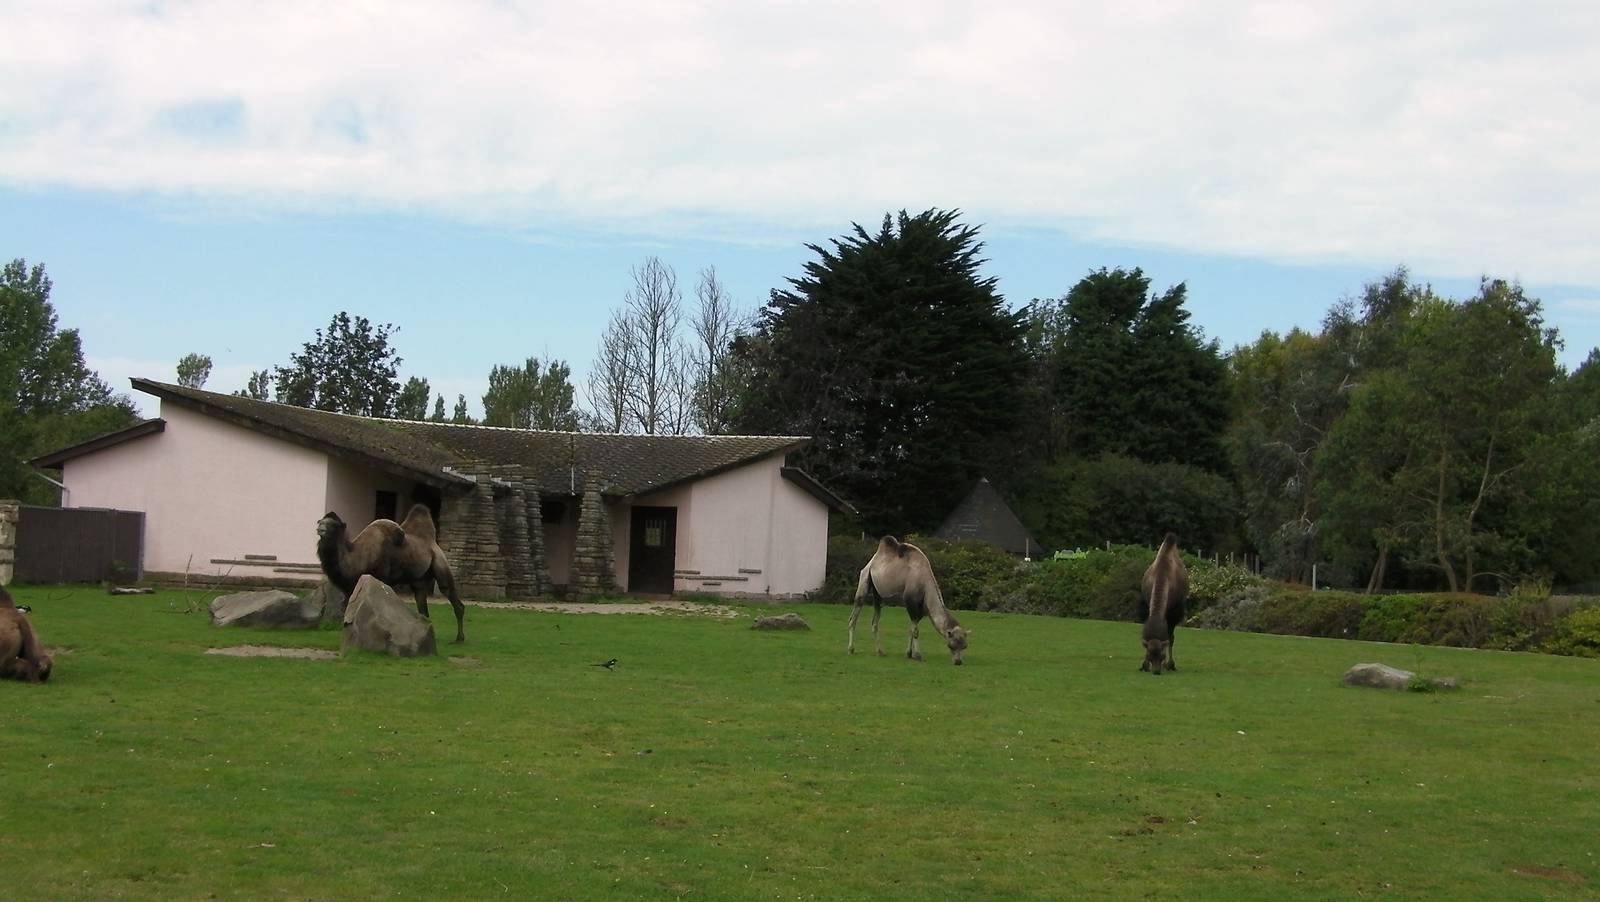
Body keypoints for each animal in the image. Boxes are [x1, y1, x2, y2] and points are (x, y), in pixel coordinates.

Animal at [316, 503, 467, 643]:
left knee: (451, 595)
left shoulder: (381, 577)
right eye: (320, 521)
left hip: (440, 563)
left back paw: (459, 638)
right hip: (419, 581)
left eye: (333, 525)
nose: (320, 529)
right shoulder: (352, 587)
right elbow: (349, 612)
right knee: (423, 608)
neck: (360, 556)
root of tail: (433, 543)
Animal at [850, 536, 969, 665]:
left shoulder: (921, 610)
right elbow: (915, 631)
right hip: (865, 577)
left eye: (964, 646)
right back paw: (851, 649)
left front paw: (909, 653)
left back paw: (880, 651)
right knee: (854, 615)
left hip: (878, 594)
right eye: (951, 645)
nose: (958, 662)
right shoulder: (910, 602)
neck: (925, 584)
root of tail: (872, 561)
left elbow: (911, 629)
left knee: (875, 621)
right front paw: (918, 655)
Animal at [1137, 533, 1189, 675]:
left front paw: (1170, 664)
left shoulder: (1174, 612)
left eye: (1162, 655)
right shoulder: (1147, 604)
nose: (1156, 671)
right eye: (1149, 655)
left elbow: (1170, 637)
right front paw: (1144, 665)